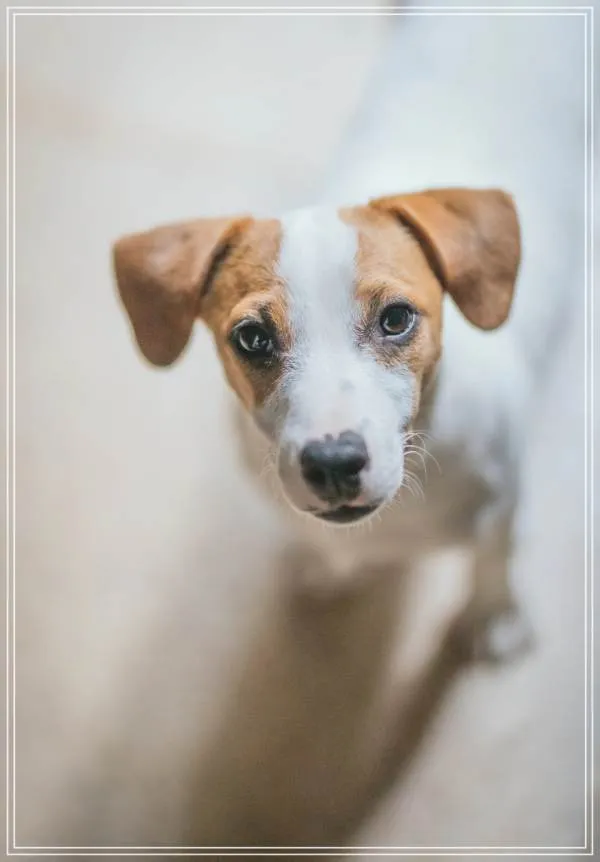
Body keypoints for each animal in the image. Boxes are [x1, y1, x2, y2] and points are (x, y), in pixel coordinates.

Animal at [111, 11, 584, 662]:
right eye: (252, 338)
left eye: (396, 319)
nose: (333, 463)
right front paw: (326, 569)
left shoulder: (504, 505)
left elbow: (495, 562)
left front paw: (494, 618)